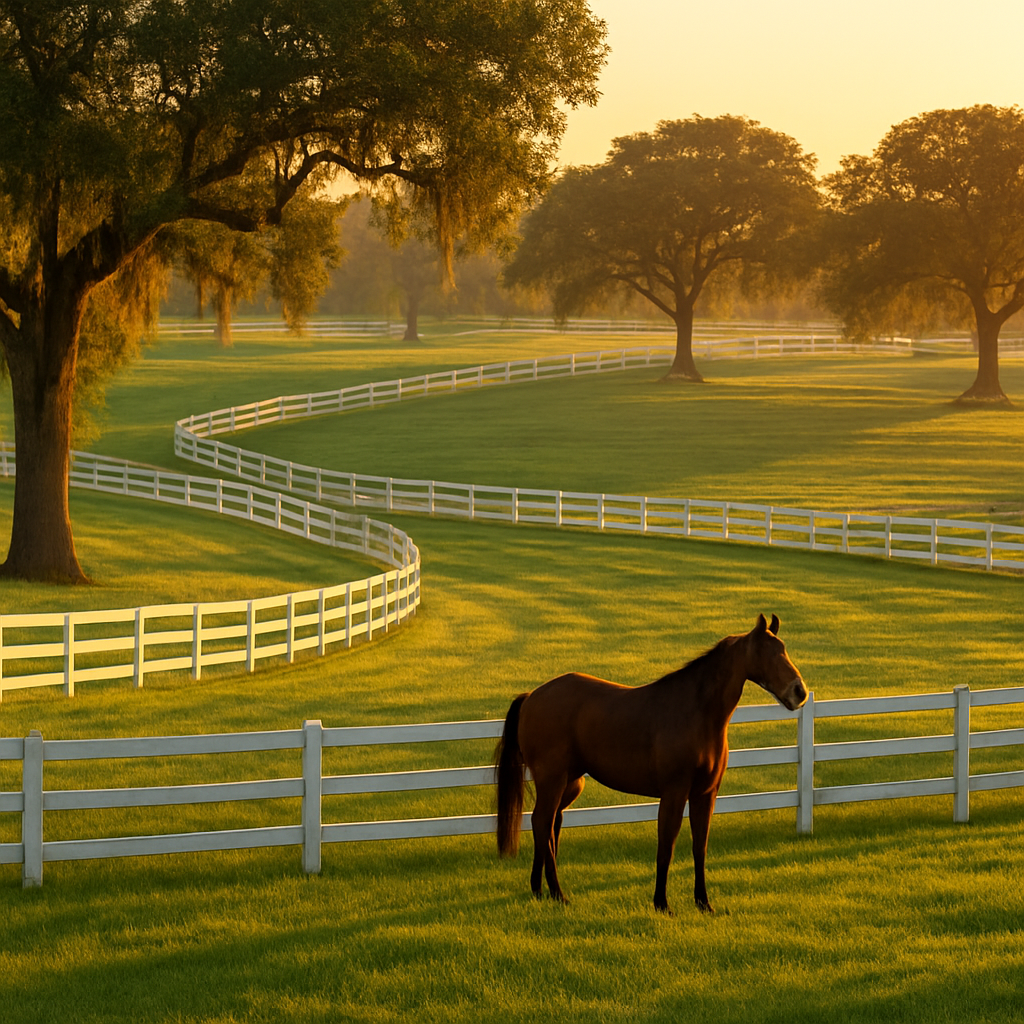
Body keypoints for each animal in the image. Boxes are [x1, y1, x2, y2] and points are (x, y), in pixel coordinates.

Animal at [495, 613, 807, 914]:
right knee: (542, 823)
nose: (799, 692)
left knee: (549, 826)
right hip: (553, 780)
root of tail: (532, 696)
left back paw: (540, 890)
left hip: (570, 784)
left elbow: (699, 847)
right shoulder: (674, 794)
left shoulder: (705, 794)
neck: (696, 712)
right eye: (767, 653)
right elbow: (666, 847)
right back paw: (558, 894)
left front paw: (704, 903)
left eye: (783, 650)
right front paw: (662, 903)